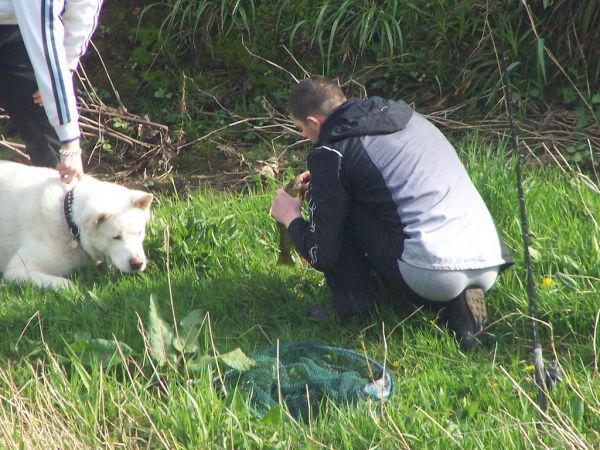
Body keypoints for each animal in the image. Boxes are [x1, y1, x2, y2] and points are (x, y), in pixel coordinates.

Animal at [0, 161, 154, 288]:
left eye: (139, 233)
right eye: (116, 237)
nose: (138, 264)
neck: (68, 220)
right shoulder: (18, 269)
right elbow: (66, 284)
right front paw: (75, 291)